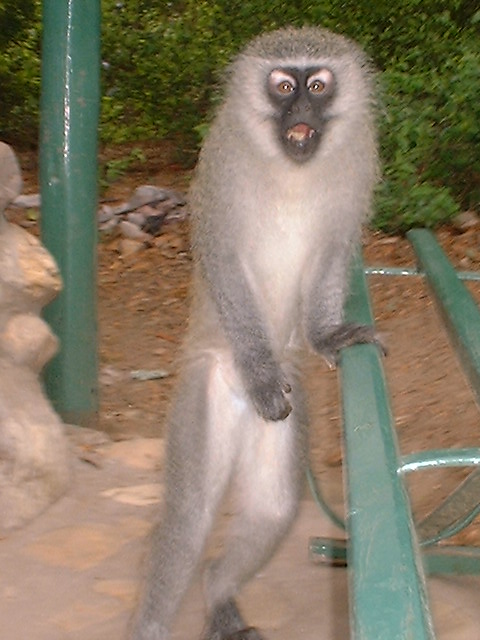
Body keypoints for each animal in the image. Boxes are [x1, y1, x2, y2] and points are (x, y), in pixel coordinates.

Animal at [129, 25, 380, 640]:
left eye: (318, 85)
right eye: (284, 86)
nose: (301, 111)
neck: (292, 170)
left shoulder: (355, 166)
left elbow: (333, 249)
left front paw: (326, 335)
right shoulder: (221, 163)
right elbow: (221, 256)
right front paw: (262, 374)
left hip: (282, 423)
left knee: (271, 511)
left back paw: (217, 591)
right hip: (208, 394)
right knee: (189, 521)